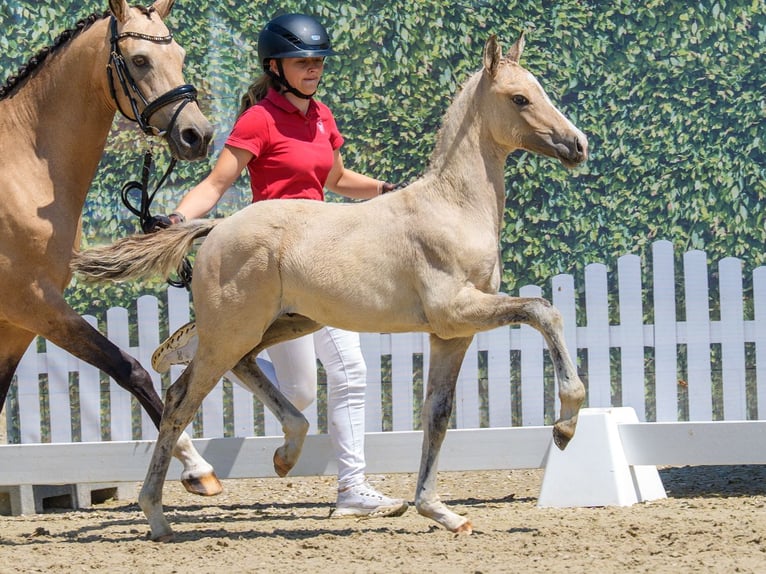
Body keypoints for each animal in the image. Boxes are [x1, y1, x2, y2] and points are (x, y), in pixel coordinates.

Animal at [0, 0, 225, 497]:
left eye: (180, 55)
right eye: (139, 60)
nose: (197, 135)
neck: (20, 168)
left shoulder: (18, 323)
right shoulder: (33, 302)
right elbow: (129, 368)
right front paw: (197, 467)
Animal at [71, 33, 588, 541]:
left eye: (539, 89)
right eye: (520, 98)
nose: (578, 145)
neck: (453, 207)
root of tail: (216, 227)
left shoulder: (451, 333)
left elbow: (437, 414)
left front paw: (439, 511)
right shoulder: (457, 310)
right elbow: (543, 310)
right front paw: (565, 425)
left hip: (282, 325)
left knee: (240, 370)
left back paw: (286, 453)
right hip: (232, 330)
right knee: (181, 399)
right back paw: (158, 514)